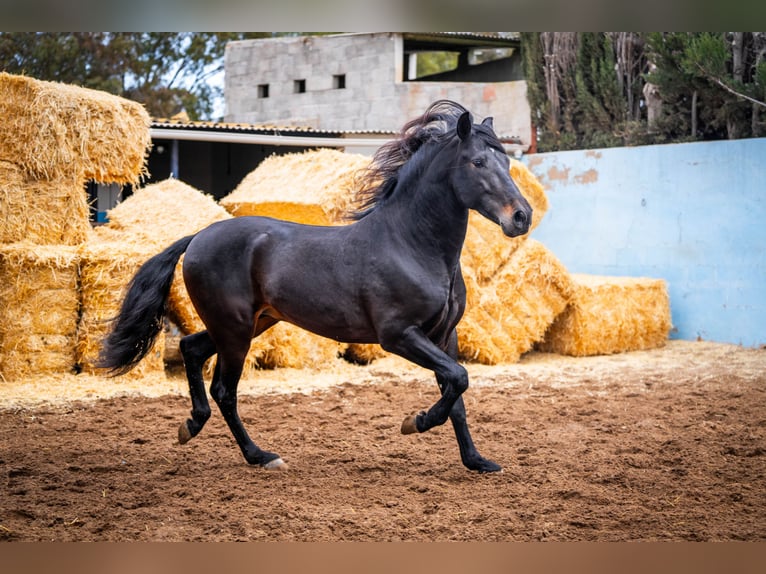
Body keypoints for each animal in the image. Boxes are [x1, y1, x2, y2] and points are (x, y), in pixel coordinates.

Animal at [100, 101, 536, 474]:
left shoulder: (445, 335)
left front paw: (478, 461)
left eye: (505, 161)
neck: (412, 245)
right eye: (478, 162)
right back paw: (261, 456)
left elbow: (457, 392)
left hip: (249, 324)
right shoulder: (399, 335)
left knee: (192, 349)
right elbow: (458, 380)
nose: (521, 217)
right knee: (224, 389)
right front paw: (416, 422)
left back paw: (192, 426)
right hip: (235, 330)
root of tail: (198, 237)